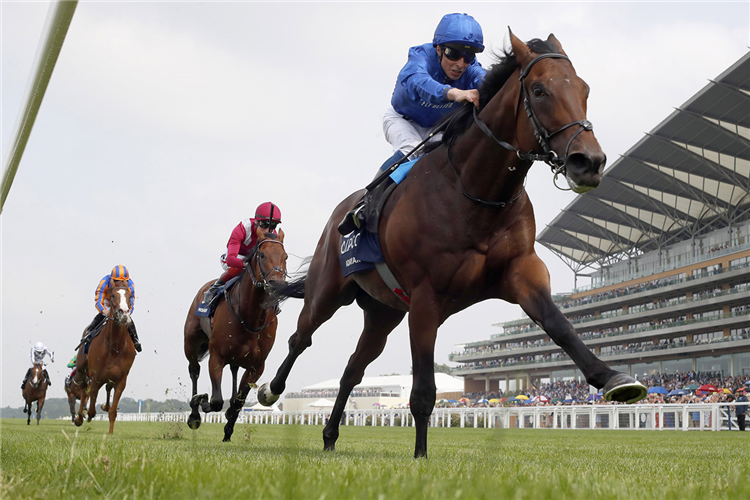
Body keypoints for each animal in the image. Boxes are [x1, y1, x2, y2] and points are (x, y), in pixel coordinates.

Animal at [73, 282, 137, 434]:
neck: (115, 345)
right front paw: (86, 415)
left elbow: (113, 411)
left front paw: (111, 432)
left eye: (129, 295)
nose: (124, 313)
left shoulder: (121, 380)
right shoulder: (96, 376)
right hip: (82, 369)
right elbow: (91, 408)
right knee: (83, 389)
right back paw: (79, 417)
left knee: (107, 388)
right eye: (113, 295)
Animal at [184, 227, 288, 442]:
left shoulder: (257, 366)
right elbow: (216, 400)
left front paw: (228, 430)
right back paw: (194, 414)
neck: (250, 316)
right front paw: (202, 400)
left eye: (285, 256)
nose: (277, 284)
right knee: (194, 370)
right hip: (190, 343)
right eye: (262, 254)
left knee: (233, 371)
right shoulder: (216, 356)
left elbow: (239, 401)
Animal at [258, 29, 648, 456]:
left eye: (584, 89)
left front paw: (613, 378)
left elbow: (559, 325)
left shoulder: (521, 272)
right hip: (328, 290)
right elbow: (423, 392)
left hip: (383, 312)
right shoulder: (426, 298)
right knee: (301, 337)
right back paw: (269, 390)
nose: (588, 162)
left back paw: (329, 436)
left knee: (352, 369)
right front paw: (421, 456)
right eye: (540, 90)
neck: (475, 191)